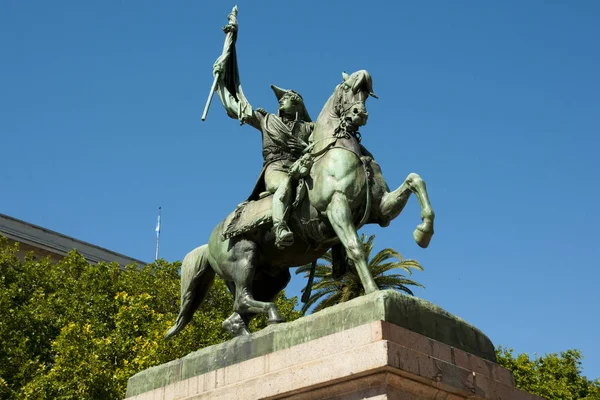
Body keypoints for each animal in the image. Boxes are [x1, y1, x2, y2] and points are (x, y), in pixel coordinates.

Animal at [166, 70, 434, 340]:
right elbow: (355, 247)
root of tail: (209, 241)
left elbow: (415, 180)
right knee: (242, 299)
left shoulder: (380, 209)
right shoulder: (336, 205)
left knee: (236, 311)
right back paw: (273, 312)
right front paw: (373, 290)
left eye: (367, 93)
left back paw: (245, 328)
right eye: (347, 88)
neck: (337, 148)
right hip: (244, 257)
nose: (359, 114)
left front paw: (423, 233)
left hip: (272, 277)